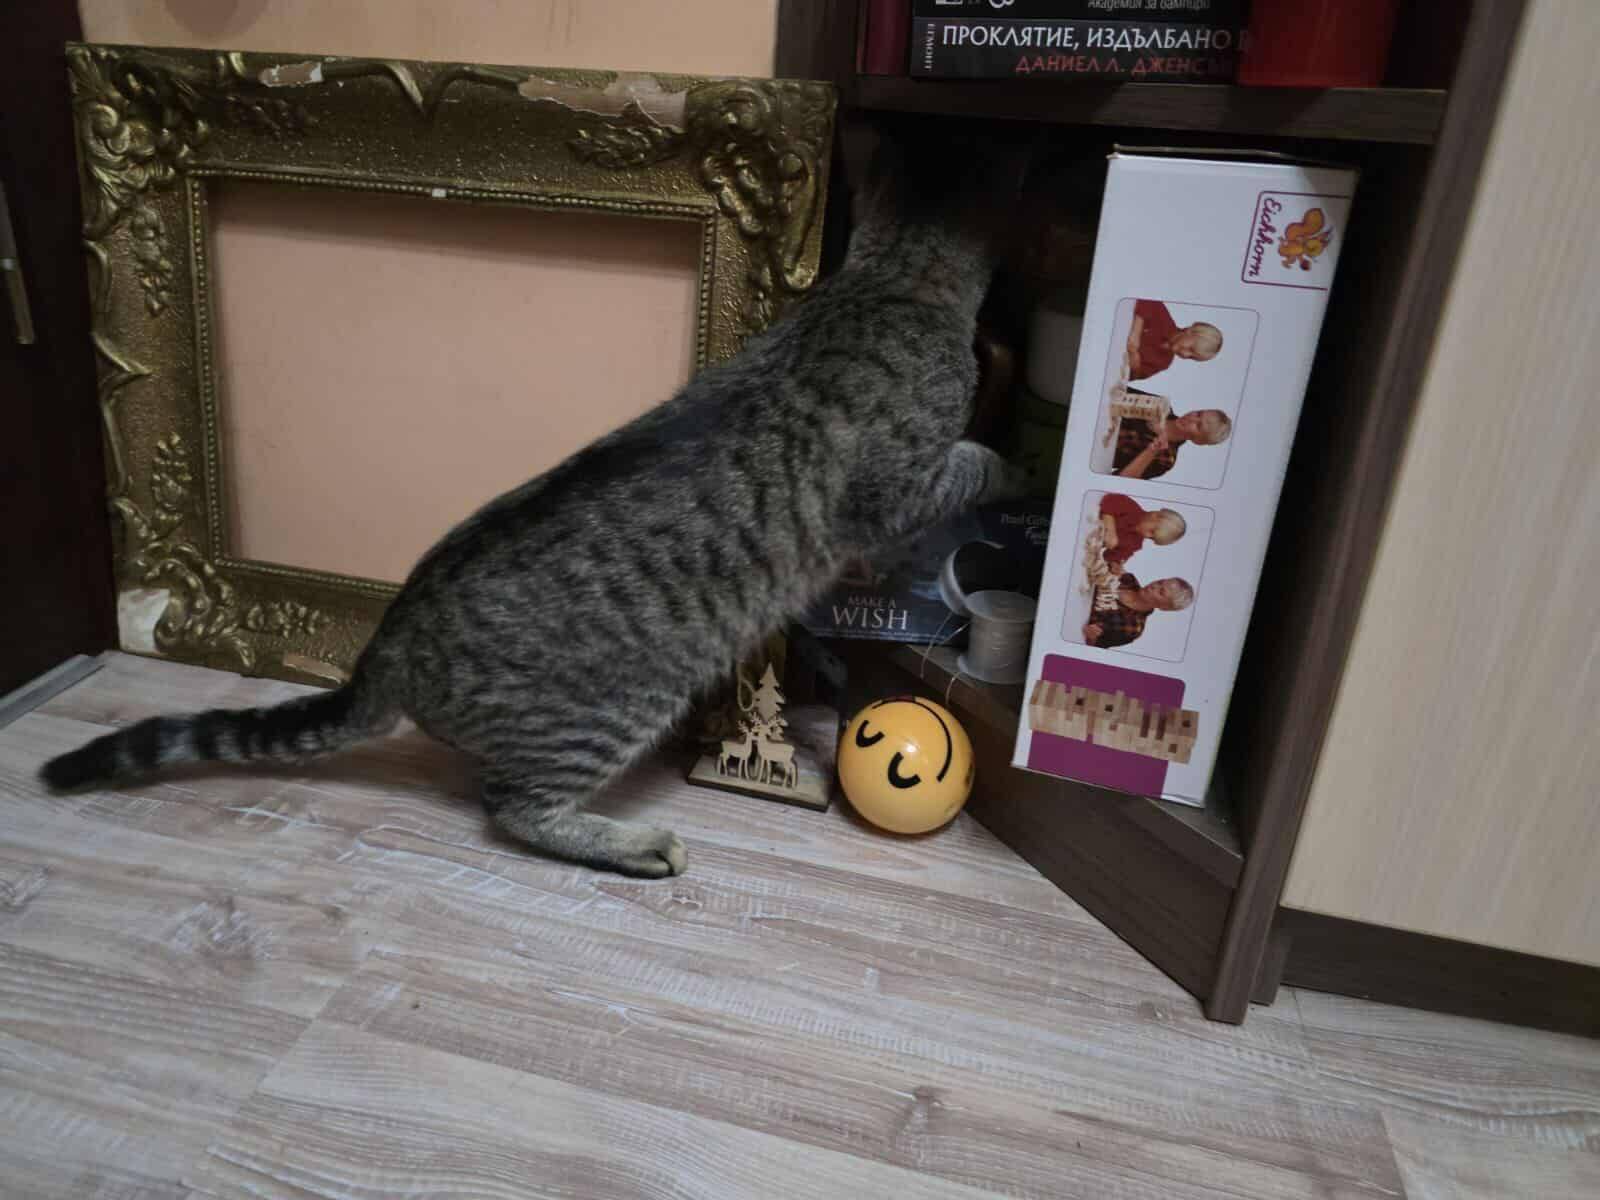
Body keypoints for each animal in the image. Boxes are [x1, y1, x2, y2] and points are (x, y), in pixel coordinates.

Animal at [40, 120, 1035, 877]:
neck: (891, 280)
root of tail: (386, 646)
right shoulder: (897, 489)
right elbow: (971, 464)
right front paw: (1021, 469)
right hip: (617, 704)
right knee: (513, 807)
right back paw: (634, 844)